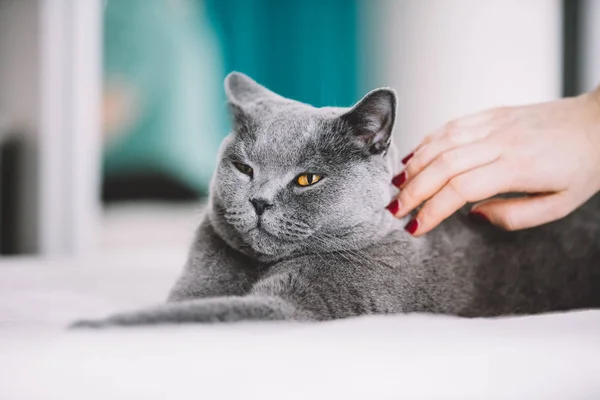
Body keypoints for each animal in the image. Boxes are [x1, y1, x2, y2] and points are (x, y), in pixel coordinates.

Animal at [72, 72, 600, 328]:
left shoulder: (297, 308)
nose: (259, 200)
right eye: (244, 169)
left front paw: (87, 326)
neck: (253, 270)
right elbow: (186, 305)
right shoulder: (195, 283)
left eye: (307, 179)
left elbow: (188, 316)